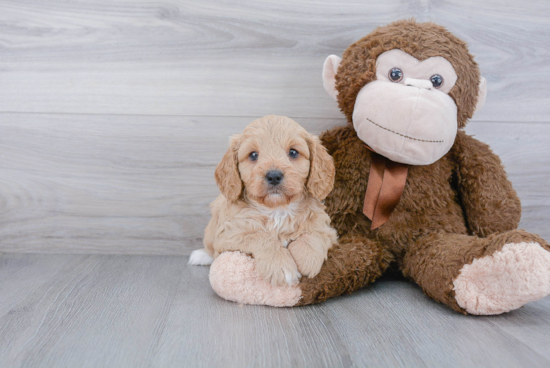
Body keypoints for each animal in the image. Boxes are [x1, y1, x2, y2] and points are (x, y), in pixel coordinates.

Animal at [191, 114, 340, 284]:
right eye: (253, 155)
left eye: (293, 152)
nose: (274, 176)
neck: (277, 209)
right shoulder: (228, 234)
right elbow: (261, 236)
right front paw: (281, 266)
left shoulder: (327, 230)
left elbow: (313, 234)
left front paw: (307, 259)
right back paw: (200, 255)